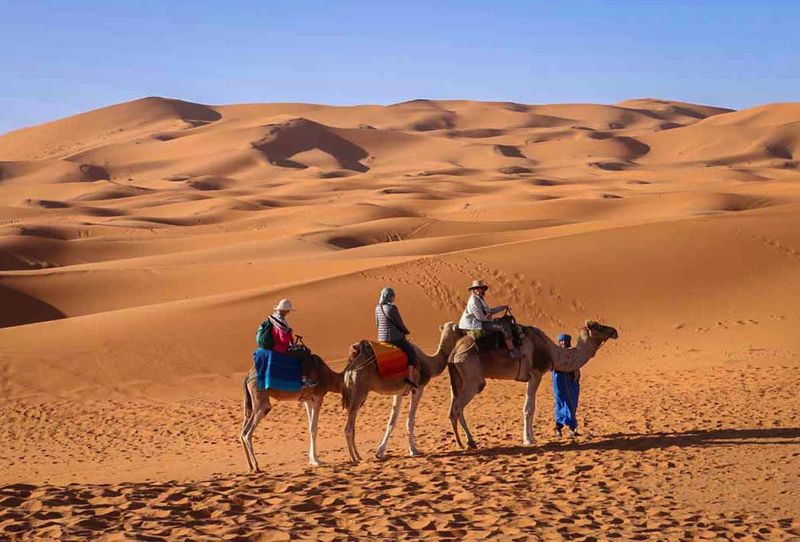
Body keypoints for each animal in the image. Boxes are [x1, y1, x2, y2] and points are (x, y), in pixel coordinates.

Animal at [340, 326, 462, 466]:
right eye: (458, 329)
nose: (466, 333)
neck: (429, 363)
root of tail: (350, 366)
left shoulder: (399, 393)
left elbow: (392, 421)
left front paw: (380, 452)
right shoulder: (418, 389)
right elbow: (410, 420)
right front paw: (414, 450)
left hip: (357, 395)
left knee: (352, 426)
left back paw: (358, 456)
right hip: (359, 392)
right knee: (348, 428)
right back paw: (353, 458)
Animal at [450, 324, 620, 450]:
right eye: (598, 326)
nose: (614, 331)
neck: (552, 352)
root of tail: (455, 351)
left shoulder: (529, 378)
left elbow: (530, 407)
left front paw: (531, 437)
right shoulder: (536, 374)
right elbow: (529, 408)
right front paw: (528, 440)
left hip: (459, 379)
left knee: (453, 408)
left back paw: (461, 442)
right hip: (473, 378)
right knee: (458, 407)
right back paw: (469, 442)